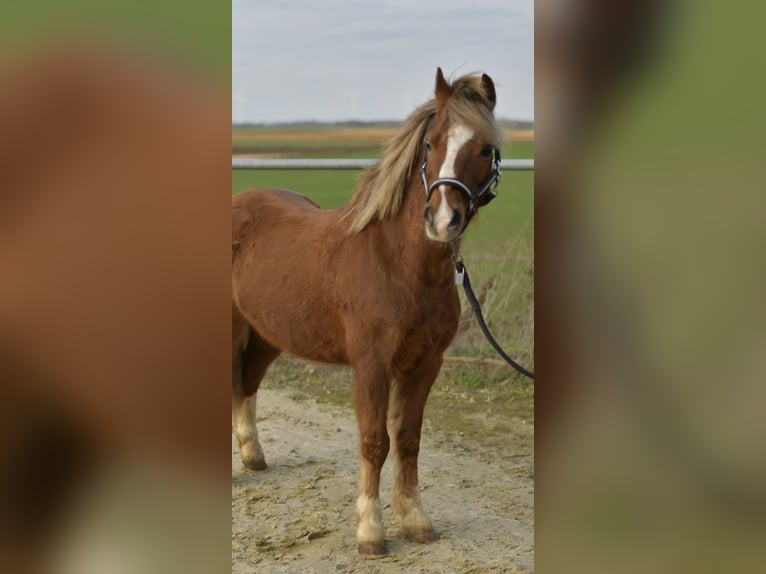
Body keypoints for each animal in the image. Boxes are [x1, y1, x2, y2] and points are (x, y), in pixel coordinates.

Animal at [231, 68, 503, 557]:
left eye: (485, 148)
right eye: (430, 144)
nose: (442, 221)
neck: (399, 264)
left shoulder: (425, 364)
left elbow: (409, 439)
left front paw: (415, 520)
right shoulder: (372, 364)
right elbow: (376, 441)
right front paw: (370, 530)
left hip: (265, 333)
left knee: (247, 381)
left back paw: (254, 457)